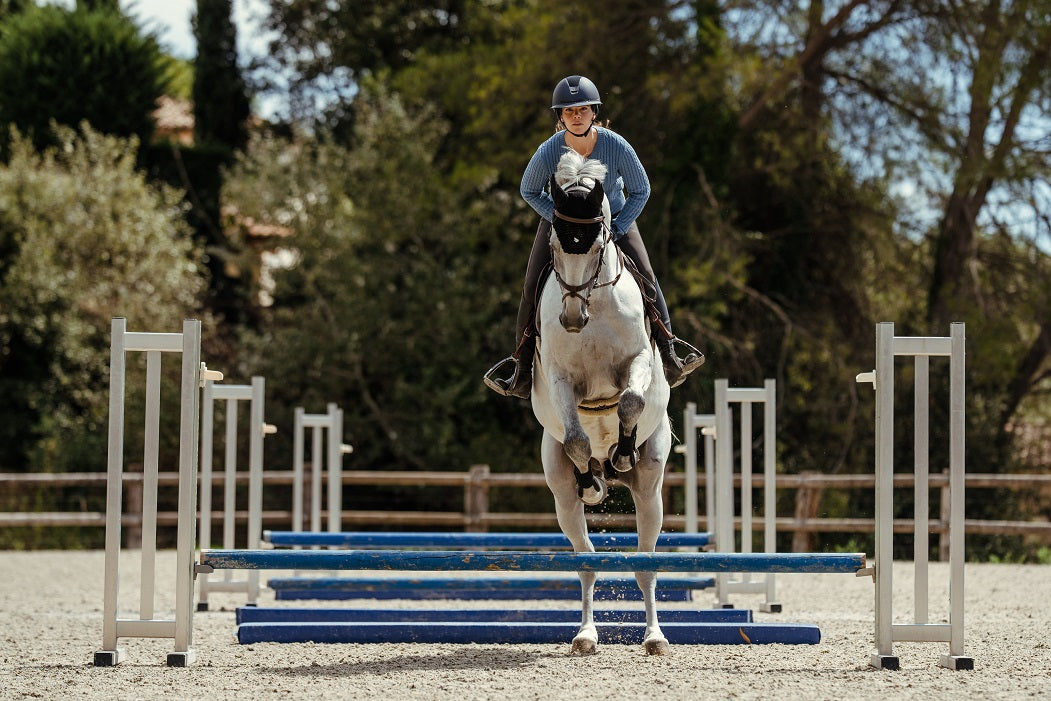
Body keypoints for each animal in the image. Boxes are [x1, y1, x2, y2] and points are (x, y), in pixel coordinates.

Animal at [530, 149, 672, 655]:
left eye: (595, 247)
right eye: (555, 245)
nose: (572, 318)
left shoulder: (638, 362)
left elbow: (629, 401)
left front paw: (622, 453)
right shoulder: (558, 380)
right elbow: (575, 437)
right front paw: (592, 480)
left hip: (651, 493)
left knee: (646, 564)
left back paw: (654, 637)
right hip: (560, 497)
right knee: (587, 561)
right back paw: (586, 635)